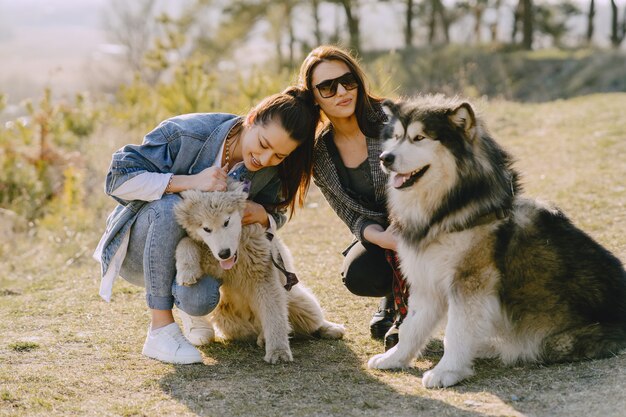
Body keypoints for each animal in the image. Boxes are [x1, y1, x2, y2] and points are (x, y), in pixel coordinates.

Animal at [173, 184, 344, 362]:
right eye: (206, 229)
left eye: (226, 222)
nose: (224, 253)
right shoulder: (212, 260)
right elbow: (185, 241)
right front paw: (186, 271)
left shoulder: (264, 277)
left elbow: (274, 315)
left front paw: (278, 352)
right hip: (228, 320)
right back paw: (263, 337)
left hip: (299, 301)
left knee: (311, 320)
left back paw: (332, 328)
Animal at [366, 94, 624, 386]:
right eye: (396, 137)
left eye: (419, 138)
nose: (385, 158)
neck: (449, 208)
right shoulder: (426, 279)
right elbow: (412, 327)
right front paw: (394, 359)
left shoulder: (470, 282)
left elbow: (455, 331)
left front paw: (447, 371)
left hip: (557, 341)